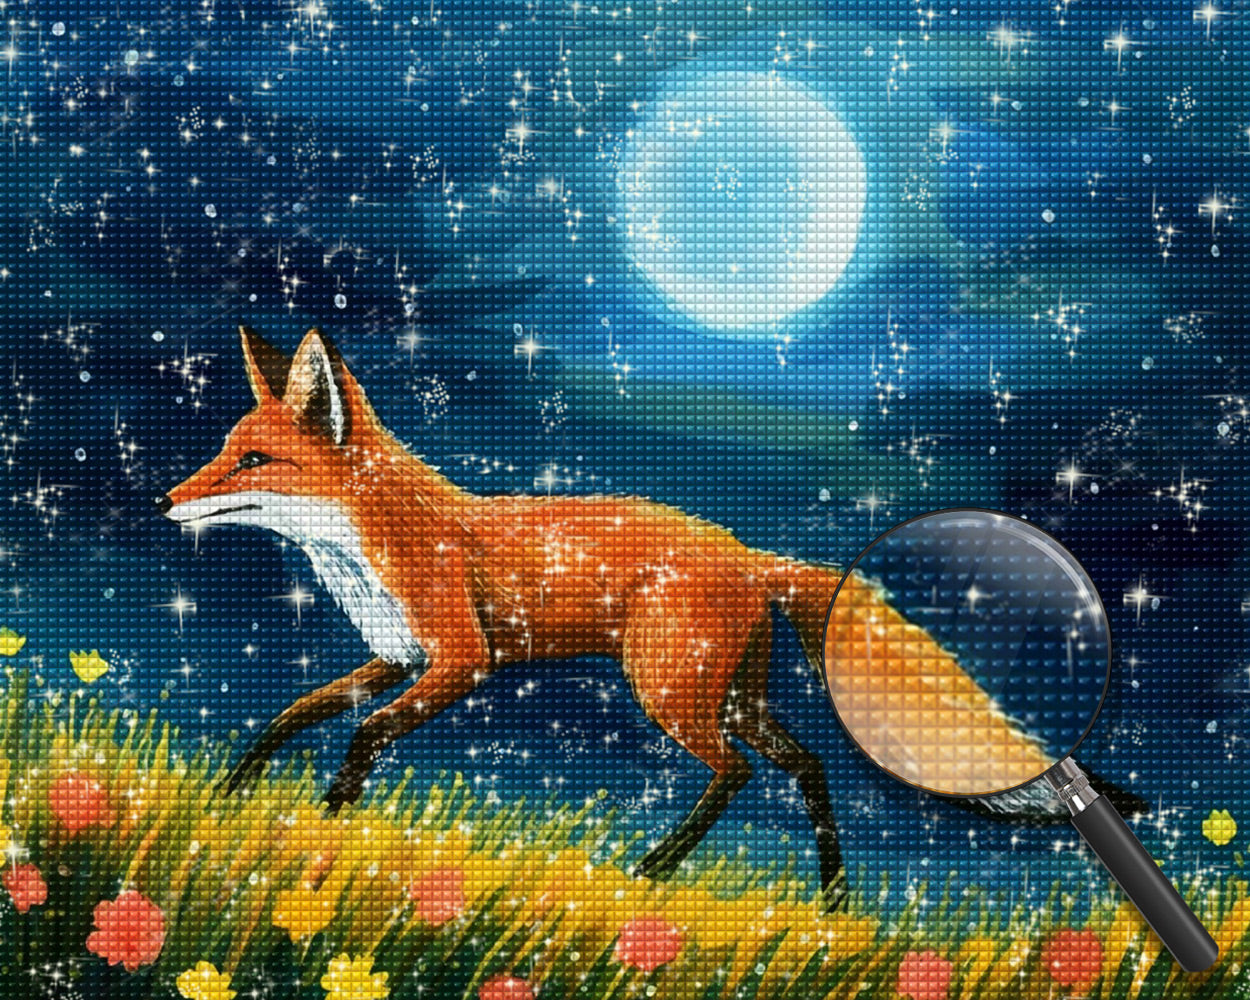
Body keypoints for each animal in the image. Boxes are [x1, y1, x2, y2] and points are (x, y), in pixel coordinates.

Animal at [159, 326, 1135, 904]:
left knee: (735, 773)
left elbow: (360, 737)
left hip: (668, 694)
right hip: (733, 697)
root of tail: (747, 552)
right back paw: (830, 897)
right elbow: (292, 715)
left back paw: (656, 868)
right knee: (807, 765)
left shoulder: (460, 661)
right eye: (224, 449)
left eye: (253, 461)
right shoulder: (397, 658)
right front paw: (231, 794)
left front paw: (326, 826)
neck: (372, 548)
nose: (168, 500)